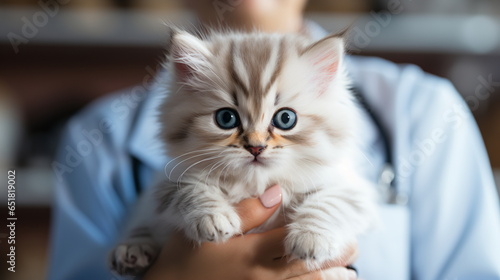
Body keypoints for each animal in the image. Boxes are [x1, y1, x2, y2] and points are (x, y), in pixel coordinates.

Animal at [108, 29, 376, 276]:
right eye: (226, 118)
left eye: (285, 119)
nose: (256, 147)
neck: (255, 183)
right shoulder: (167, 183)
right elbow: (189, 190)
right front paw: (213, 218)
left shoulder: (352, 189)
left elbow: (330, 203)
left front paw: (310, 238)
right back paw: (132, 251)